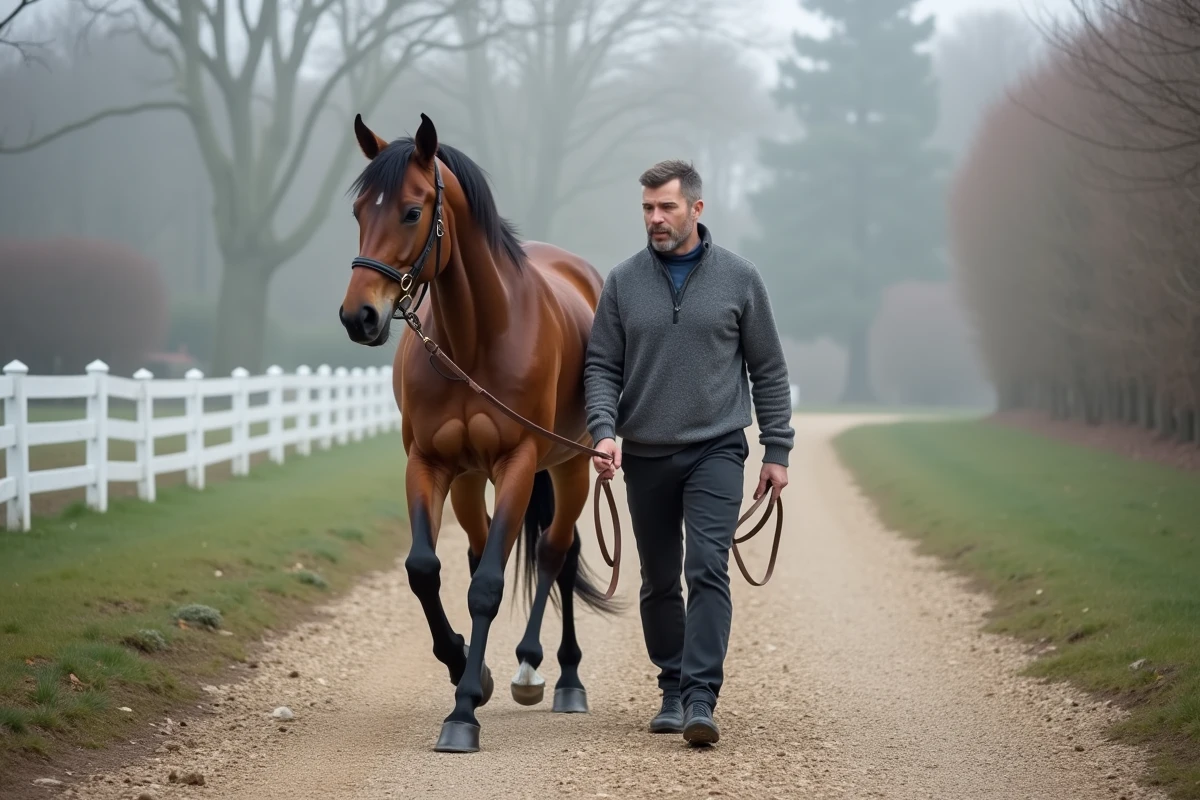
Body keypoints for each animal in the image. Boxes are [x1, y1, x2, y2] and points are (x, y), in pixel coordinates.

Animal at [338, 111, 622, 754]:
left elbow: (490, 583)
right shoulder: (428, 463)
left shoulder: (518, 463)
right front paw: (465, 667)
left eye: (411, 211)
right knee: (481, 547)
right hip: (472, 480)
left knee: (557, 553)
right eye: (360, 211)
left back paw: (553, 673)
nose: (358, 317)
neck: (475, 339)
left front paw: (464, 710)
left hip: (568, 466)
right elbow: (426, 571)